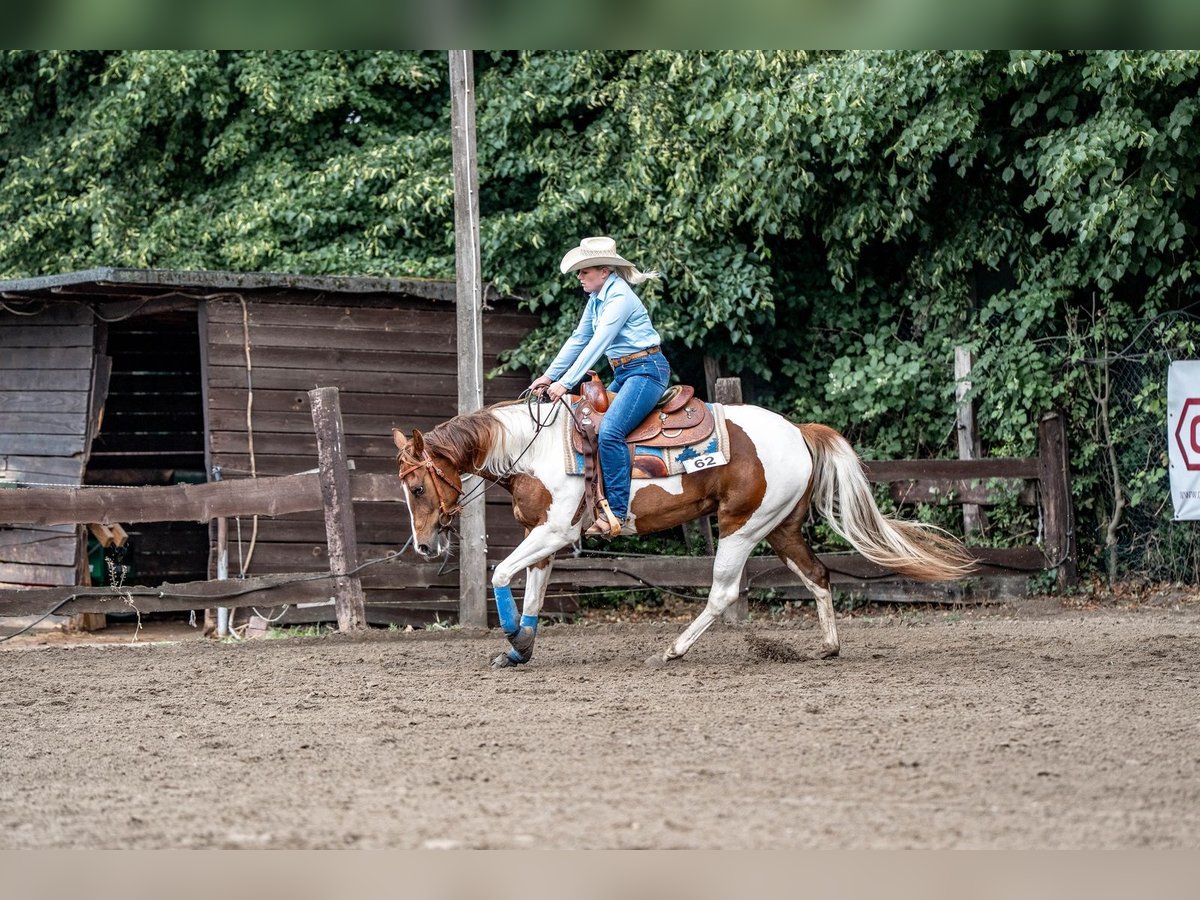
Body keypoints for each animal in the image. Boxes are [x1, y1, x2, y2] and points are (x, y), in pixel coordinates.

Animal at [392, 396, 975, 669]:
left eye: (417, 488)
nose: (423, 545)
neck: (531, 449)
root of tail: (797, 430)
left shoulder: (555, 530)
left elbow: (500, 573)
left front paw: (513, 639)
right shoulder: (545, 535)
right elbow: (531, 590)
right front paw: (521, 650)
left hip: (740, 527)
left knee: (723, 593)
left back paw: (672, 651)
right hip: (781, 528)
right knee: (818, 576)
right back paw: (828, 648)